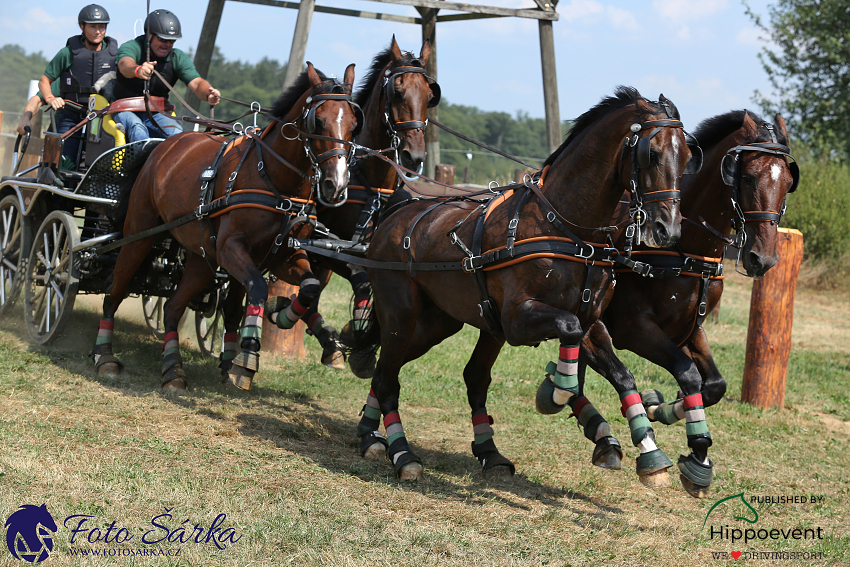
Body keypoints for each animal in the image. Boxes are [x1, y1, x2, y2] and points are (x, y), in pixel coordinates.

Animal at [90, 62, 362, 390]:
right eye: (318, 122)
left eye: (354, 123)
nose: (337, 185)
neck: (273, 177)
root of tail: (164, 145)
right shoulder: (231, 248)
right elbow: (257, 288)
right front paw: (246, 358)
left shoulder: (283, 256)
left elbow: (309, 287)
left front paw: (281, 314)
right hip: (138, 234)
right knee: (114, 290)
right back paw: (104, 355)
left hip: (201, 257)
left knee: (172, 307)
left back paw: (173, 369)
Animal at [264, 36, 438, 372]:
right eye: (397, 91)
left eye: (429, 93)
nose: (414, 156)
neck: (373, 186)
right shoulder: (331, 248)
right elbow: (360, 283)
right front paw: (355, 335)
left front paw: (359, 340)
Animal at [348, 87, 692, 480]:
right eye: (652, 154)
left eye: (687, 156)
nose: (668, 230)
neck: (564, 226)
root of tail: (393, 216)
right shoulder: (517, 319)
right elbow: (567, 329)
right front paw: (557, 393)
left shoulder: (591, 321)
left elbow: (622, 374)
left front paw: (650, 453)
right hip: (401, 316)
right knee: (388, 378)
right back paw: (402, 453)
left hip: (439, 322)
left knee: (408, 371)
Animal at [568, 110, 796, 496]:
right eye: (747, 176)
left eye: (788, 182)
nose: (762, 259)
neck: (684, 249)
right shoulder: (635, 329)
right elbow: (688, 373)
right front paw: (696, 454)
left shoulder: (689, 328)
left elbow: (714, 385)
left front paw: (660, 408)